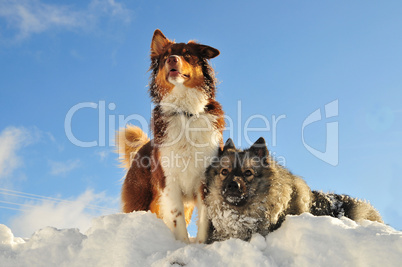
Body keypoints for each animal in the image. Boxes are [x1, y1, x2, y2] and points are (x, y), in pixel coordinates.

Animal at [117, 29, 226, 245]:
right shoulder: (169, 181)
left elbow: (204, 218)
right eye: (165, 56)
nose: (171, 60)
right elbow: (177, 218)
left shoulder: (205, 178)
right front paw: (183, 244)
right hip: (140, 200)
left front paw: (200, 245)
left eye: (187, 54)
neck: (185, 111)